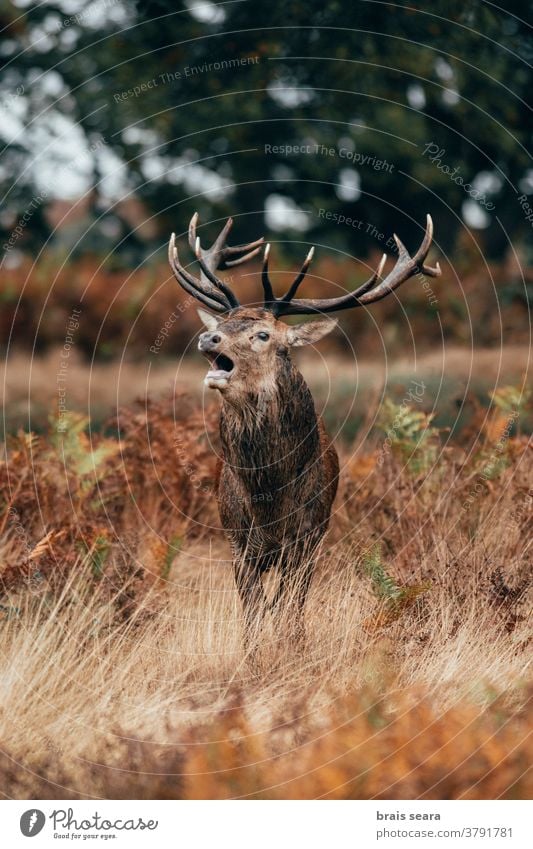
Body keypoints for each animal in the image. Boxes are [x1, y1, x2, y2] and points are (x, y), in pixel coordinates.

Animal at [168, 210, 438, 644]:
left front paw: (290, 647)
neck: (268, 498)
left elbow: (289, 611)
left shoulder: (307, 540)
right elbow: (253, 615)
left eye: (262, 334)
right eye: (225, 323)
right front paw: (253, 653)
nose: (208, 337)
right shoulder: (237, 541)